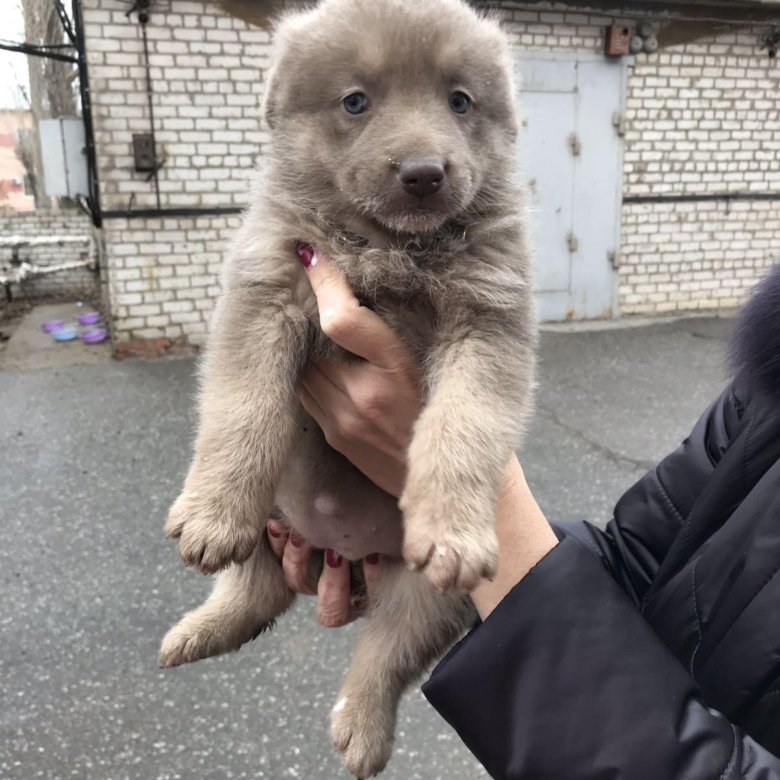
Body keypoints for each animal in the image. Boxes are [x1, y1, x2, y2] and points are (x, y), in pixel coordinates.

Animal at [158, 1, 536, 772]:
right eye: (355, 101)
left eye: (460, 101)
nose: (424, 172)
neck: (389, 249)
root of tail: (346, 551)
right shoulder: (268, 288)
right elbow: (243, 407)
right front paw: (210, 513)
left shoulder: (489, 321)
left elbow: (463, 425)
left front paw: (453, 527)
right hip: (272, 521)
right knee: (256, 590)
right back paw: (197, 632)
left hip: (431, 599)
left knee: (385, 654)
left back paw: (361, 731)